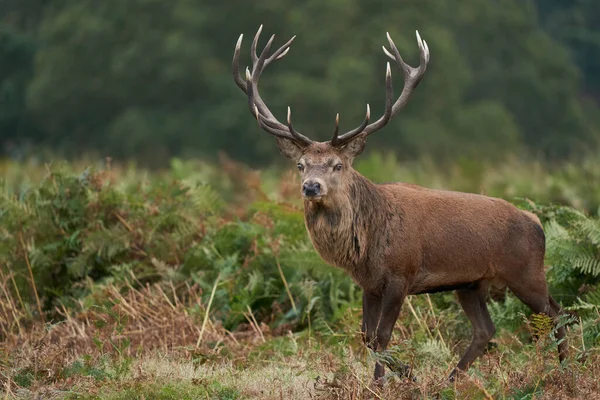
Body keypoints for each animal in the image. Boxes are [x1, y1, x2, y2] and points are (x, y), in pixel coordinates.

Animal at [232, 25, 568, 384]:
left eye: (338, 165)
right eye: (301, 165)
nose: (311, 187)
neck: (366, 245)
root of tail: (537, 222)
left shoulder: (400, 275)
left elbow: (382, 335)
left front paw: (383, 381)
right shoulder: (369, 283)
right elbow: (366, 335)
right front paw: (407, 374)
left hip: (526, 272)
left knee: (558, 312)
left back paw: (567, 370)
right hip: (471, 284)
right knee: (485, 330)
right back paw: (450, 380)